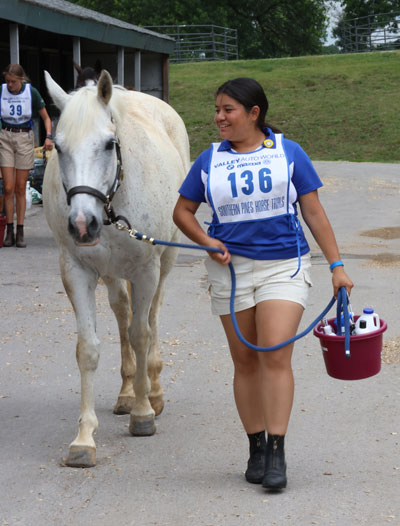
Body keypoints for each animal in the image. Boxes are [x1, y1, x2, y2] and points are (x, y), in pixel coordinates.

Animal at [43, 71, 190, 470]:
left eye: (110, 144)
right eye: (58, 147)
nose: (82, 224)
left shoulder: (146, 269)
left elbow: (141, 334)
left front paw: (143, 413)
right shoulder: (76, 271)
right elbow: (89, 349)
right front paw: (83, 439)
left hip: (164, 263)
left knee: (150, 318)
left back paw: (152, 391)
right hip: (111, 274)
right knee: (123, 313)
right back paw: (126, 393)